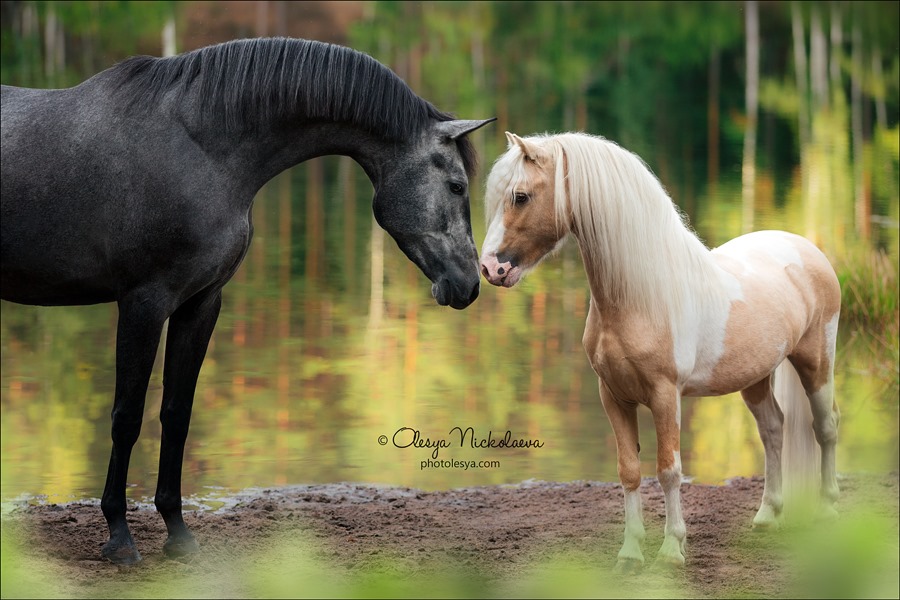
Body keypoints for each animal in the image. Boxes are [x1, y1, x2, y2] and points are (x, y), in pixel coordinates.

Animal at [0, 38, 496, 568]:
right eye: (458, 186)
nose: (470, 285)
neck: (200, 150)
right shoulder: (142, 304)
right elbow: (127, 418)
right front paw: (119, 536)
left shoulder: (200, 304)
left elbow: (176, 414)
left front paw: (178, 533)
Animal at [482, 132, 840, 572]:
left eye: (520, 196)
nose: (490, 268)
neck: (641, 296)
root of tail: (807, 248)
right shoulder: (613, 396)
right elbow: (629, 471)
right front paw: (630, 554)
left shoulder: (666, 396)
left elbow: (669, 470)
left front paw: (671, 551)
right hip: (756, 377)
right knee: (773, 429)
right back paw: (767, 516)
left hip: (817, 362)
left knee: (825, 427)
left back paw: (827, 511)